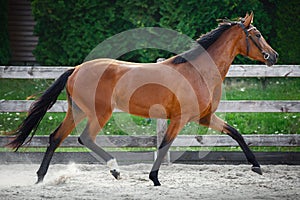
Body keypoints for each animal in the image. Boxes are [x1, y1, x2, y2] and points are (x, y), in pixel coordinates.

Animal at [7, 12, 278, 186]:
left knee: (55, 138)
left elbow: (236, 133)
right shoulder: (179, 119)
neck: (197, 71)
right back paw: (115, 169)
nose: (273, 56)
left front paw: (257, 166)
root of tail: (76, 69)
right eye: (257, 34)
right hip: (99, 112)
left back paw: (40, 178)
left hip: (78, 111)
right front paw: (155, 179)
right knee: (85, 138)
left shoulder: (204, 117)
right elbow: (164, 145)